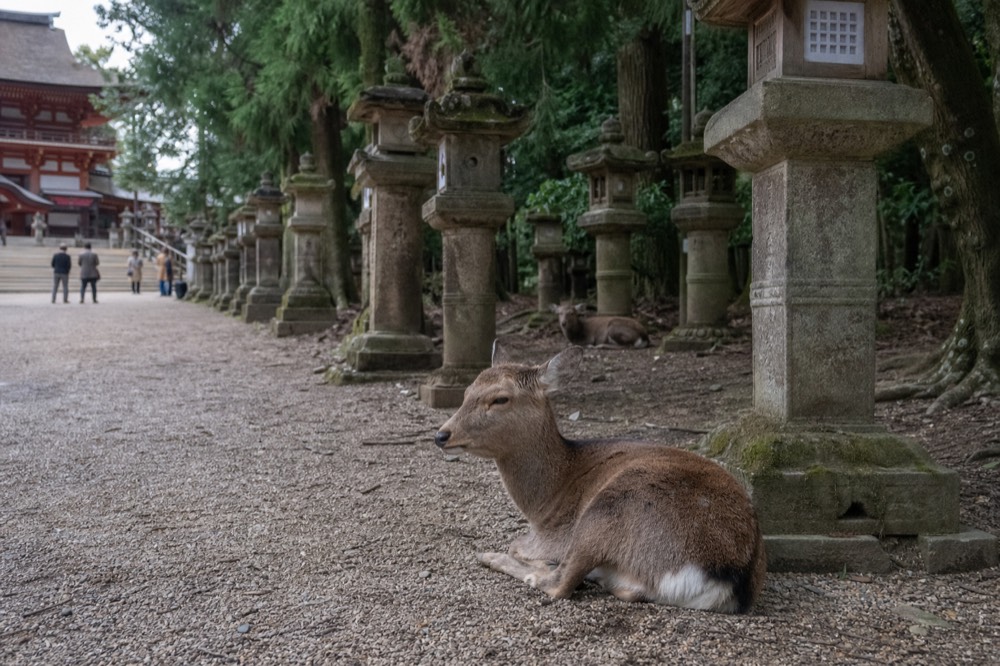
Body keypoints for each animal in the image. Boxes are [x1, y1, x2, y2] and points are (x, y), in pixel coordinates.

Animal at [434, 344, 766, 613]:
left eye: (500, 399)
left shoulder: (553, 535)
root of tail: (726, 577)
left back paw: (496, 557)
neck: (543, 504)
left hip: (606, 509)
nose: (441, 435)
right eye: (466, 392)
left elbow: (518, 545)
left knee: (561, 584)